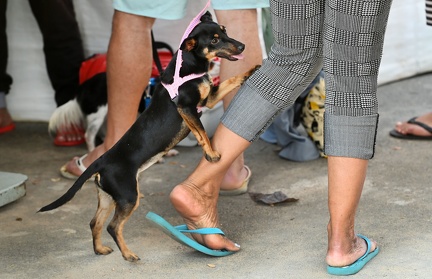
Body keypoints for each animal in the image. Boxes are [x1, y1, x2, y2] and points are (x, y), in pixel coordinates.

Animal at [38, 11, 258, 262]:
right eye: (213, 40)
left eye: (224, 31)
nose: (242, 46)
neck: (189, 66)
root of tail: (100, 161)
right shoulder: (187, 107)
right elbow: (201, 132)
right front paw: (211, 154)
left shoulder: (208, 99)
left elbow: (231, 80)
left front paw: (250, 71)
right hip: (127, 196)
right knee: (113, 226)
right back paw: (128, 255)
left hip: (108, 197)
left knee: (95, 223)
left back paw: (100, 249)